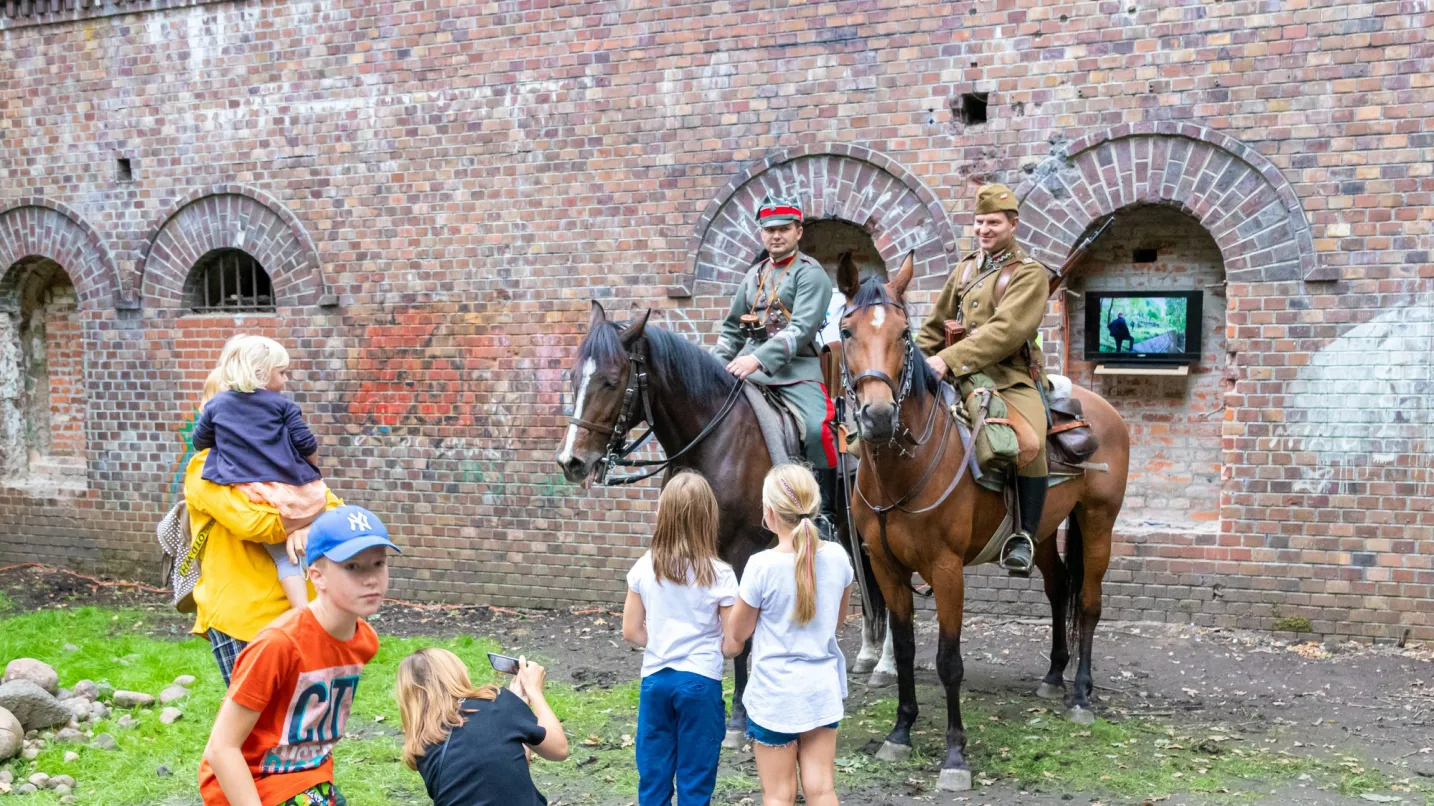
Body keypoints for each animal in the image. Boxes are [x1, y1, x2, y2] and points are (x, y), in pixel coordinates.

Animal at [556, 299, 883, 740]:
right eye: (575, 378)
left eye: (610, 381)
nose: (571, 461)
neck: (713, 438)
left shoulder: (743, 550)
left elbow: (741, 633)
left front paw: (740, 715)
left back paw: (885, 665)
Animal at [837, 253, 1129, 785]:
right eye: (847, 331)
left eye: (904, 334)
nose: (879, 416)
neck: (903, 470)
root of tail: (1102, 410)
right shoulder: (887, 568)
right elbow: (905, 650)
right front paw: (900, 732)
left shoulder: (947, 570)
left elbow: (948, 659)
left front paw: (955, 754)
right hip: (1041, 531)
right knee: (1059, 586)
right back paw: (1053, 676)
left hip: (1098, 522)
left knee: (1089, 604)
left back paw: (1080, 694)